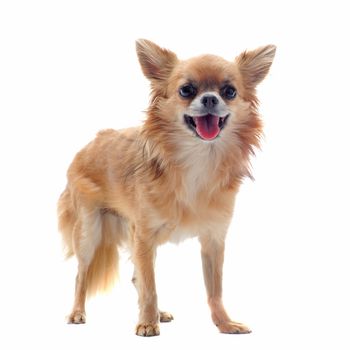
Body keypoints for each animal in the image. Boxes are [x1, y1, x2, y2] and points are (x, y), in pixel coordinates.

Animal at [58, 39, 276, 336]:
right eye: (186, 90)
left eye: (230, 92)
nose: (210, 99)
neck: (198, 158)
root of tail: (88, 146)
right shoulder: (144, 236)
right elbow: (150, 286)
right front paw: (147, 324)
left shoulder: (213, 240)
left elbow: (214, 290)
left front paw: (224, 323)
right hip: (89, 231)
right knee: (83, 275)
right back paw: (79, 312)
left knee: (136, 277)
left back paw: (157, 313)